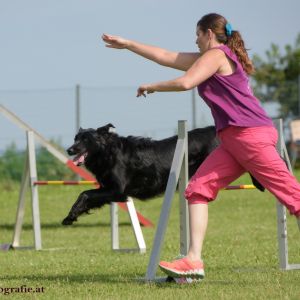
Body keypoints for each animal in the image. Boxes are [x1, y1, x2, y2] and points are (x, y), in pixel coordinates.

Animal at [62, 122, 262, 225]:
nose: (69, 149)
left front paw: (69, 216)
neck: (108, 151)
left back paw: (259, 183)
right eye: (75, 138)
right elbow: (87, 197)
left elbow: (85, 193)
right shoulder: (108, 189)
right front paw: (71, 216)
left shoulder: (117, 190)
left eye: (85, 139)